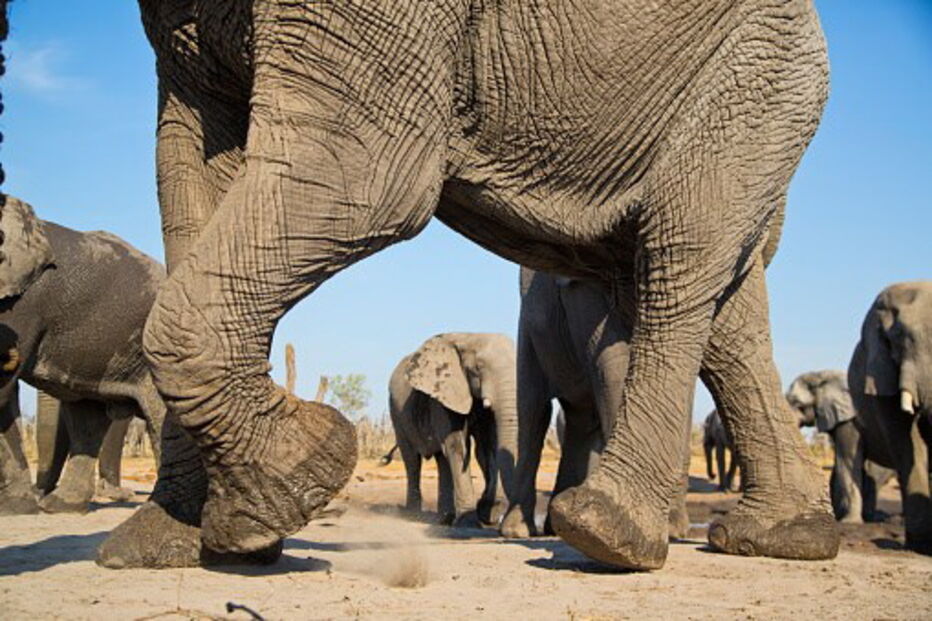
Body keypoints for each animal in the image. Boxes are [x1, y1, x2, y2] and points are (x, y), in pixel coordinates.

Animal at [386, 333, 517, 527]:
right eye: (478, 368)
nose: (497, 512)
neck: (469, 337)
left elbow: (486, 447)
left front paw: (489, 514)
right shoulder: (443, 394)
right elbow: (458, 446)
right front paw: (469, 522)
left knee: (442, 460)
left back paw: (445, 518)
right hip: (397, 413)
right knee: (412, 459)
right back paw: (413, 515)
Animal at [500, 268, 692, 540]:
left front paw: (671, 530)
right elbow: (614, 368)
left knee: (580, 420)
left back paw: (555, 526)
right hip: (528, 324)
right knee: (534, 411)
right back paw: (517, 531)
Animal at [786, 370, 895, 523]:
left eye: (798, 404)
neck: (821, 376)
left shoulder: (849, 419)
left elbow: (846, 460)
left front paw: (848, 521)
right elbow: (839, 465)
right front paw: (838, 516)